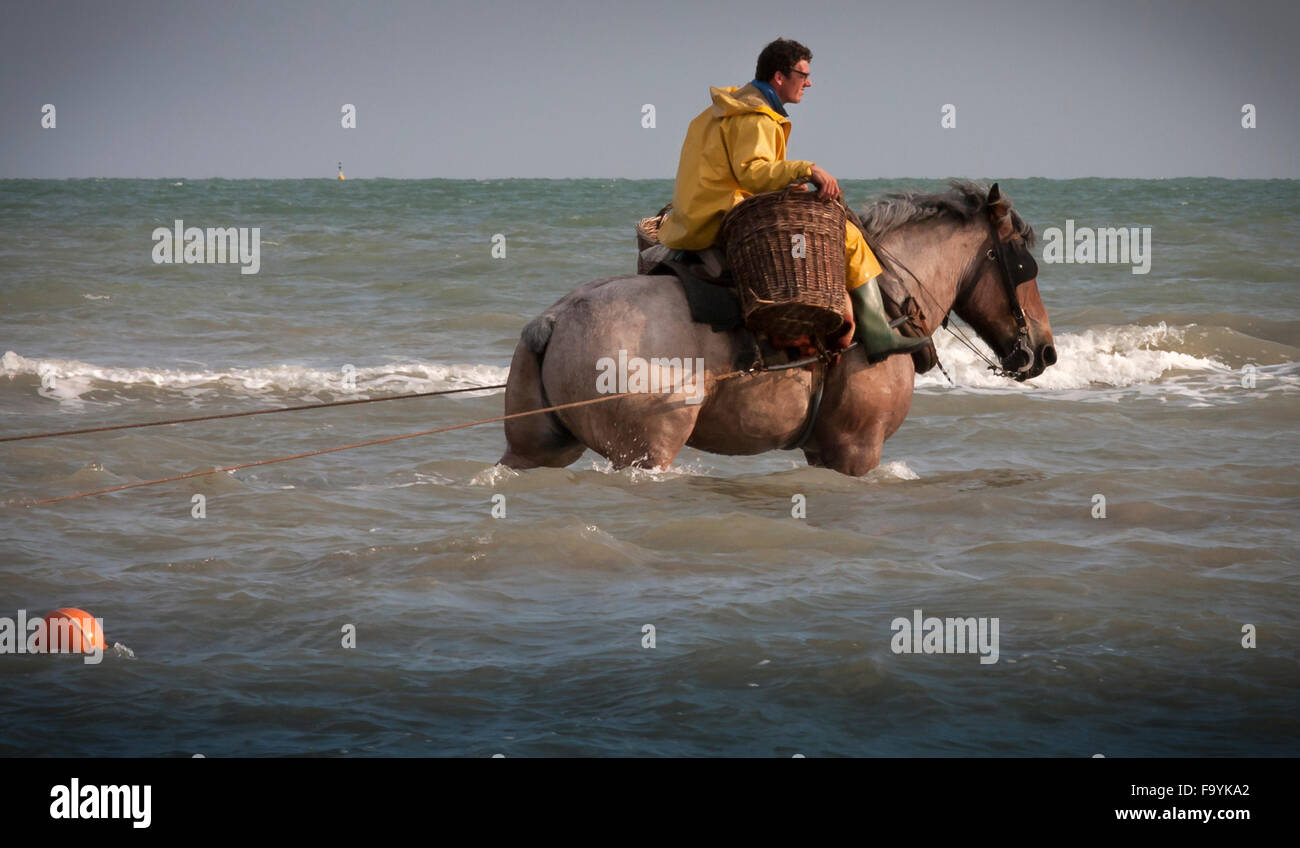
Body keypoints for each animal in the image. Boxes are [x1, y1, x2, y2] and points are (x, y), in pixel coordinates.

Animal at [498, 181, 1055, 477]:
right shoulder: (858, 449)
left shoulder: (824, 451)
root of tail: (554, 319)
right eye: (1023, 264)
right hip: (645, 454)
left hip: (534, 450)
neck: (888, 297)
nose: (1045, 352)